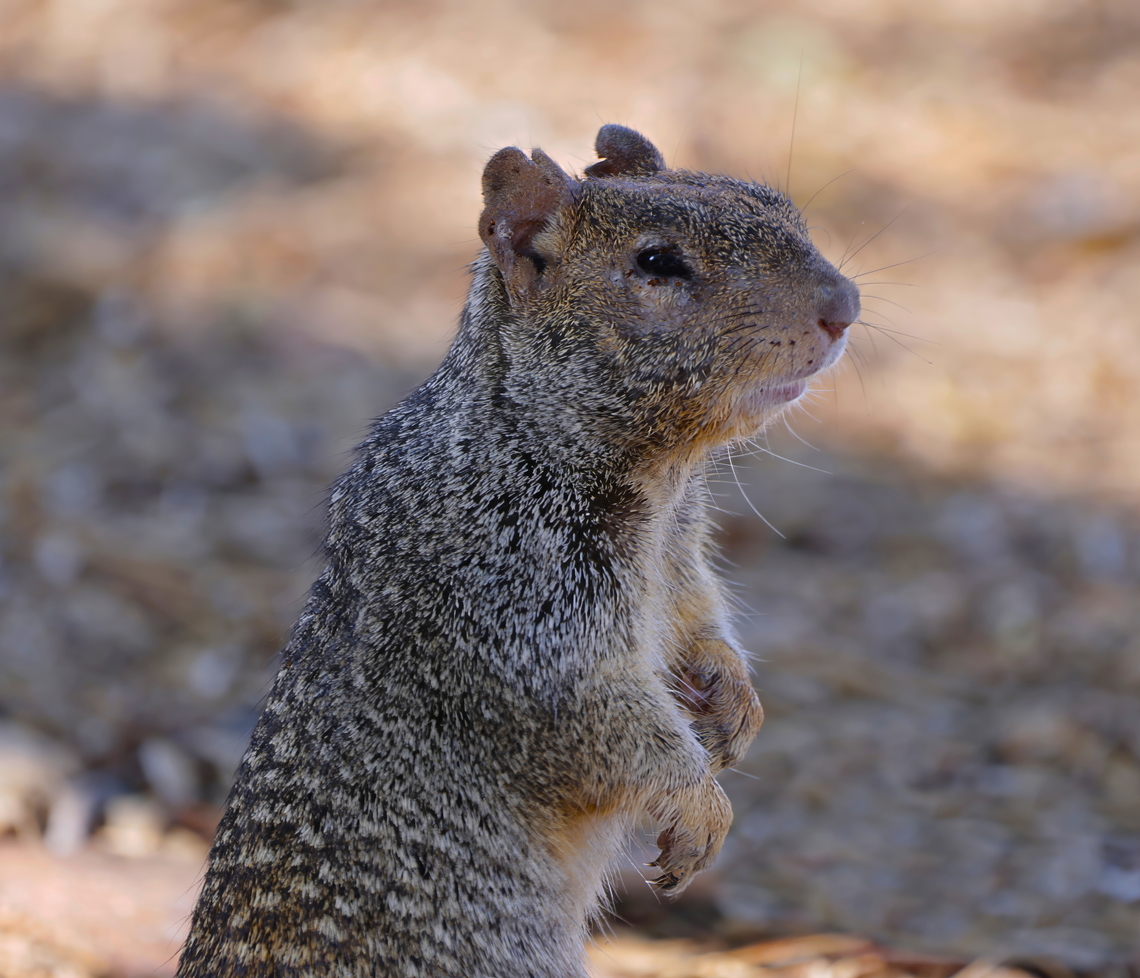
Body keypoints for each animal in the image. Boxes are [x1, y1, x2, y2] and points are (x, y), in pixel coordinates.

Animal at [176, 125, 858, 978]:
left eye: (780, 205)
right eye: (658, 261)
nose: (846, 308)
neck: (662, 484)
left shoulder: (681, 564)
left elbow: (702, 620)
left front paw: (734, 699)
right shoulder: (516, 607)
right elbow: (606, 723)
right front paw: (701, 805)